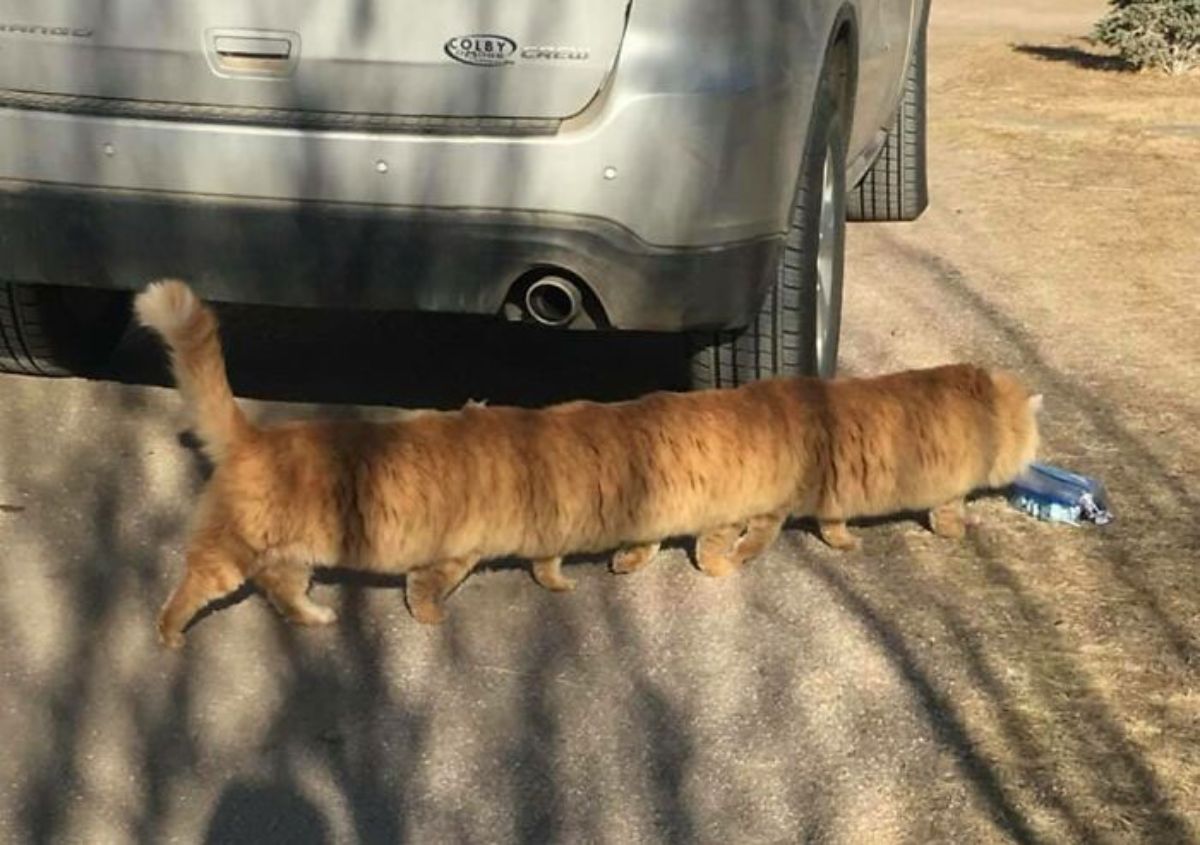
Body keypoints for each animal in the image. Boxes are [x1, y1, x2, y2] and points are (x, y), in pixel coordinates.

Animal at [136, 278, 1041, 648]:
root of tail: (253, 434)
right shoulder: (461, 550)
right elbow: (435, 589)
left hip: (287, 555)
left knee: (283, 592)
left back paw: (317, 617)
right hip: (226, 555)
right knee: (188, 590)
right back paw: (172, 635)